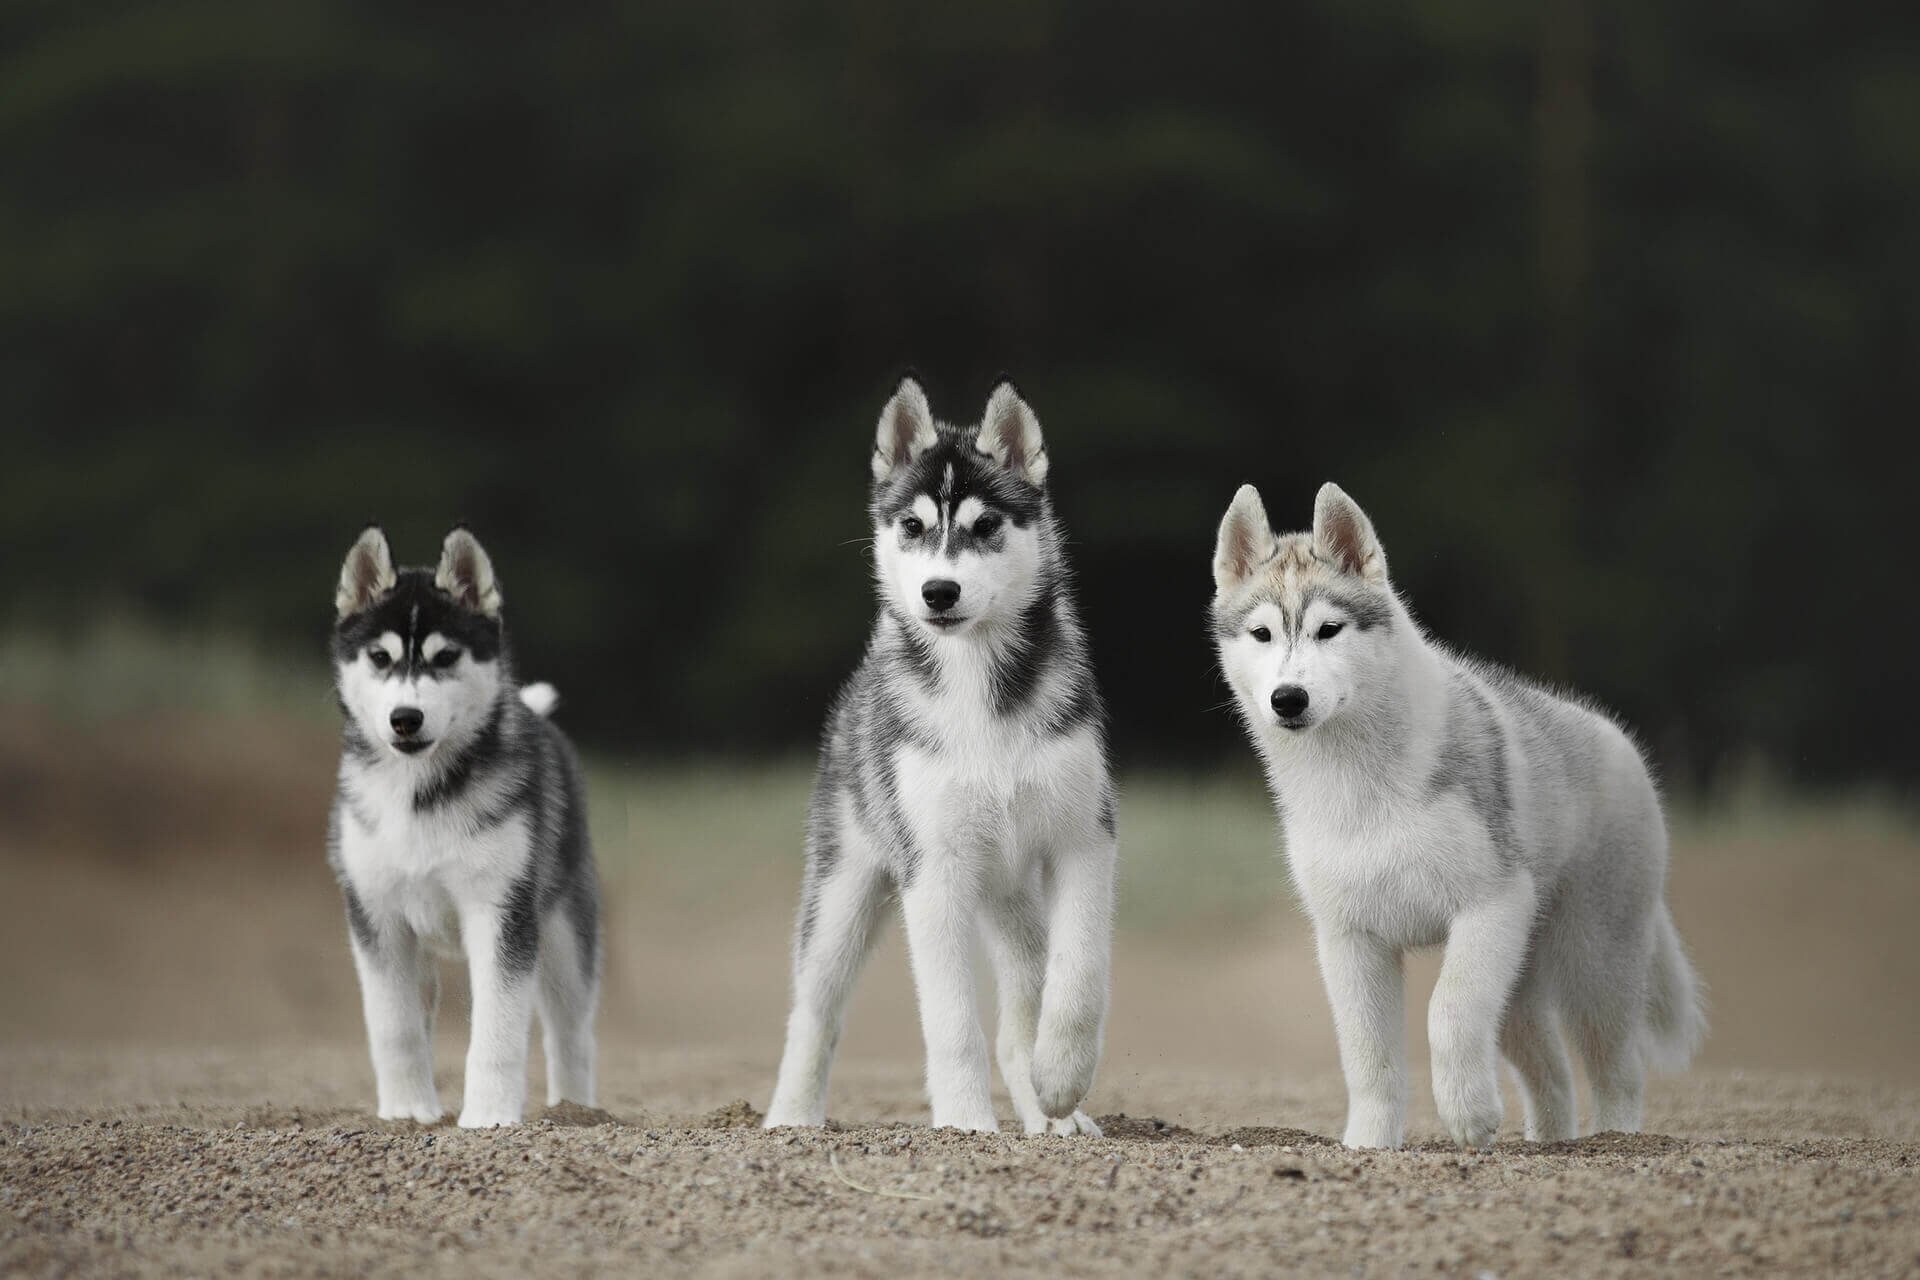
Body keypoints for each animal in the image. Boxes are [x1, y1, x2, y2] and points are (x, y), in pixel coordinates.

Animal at [326, 525, 599, 1128]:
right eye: (379, 657)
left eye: (446, 656)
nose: (405, 718)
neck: (418, 793)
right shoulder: (377, 916)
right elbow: (395, 1026)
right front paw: (406, 1110)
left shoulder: (501, 911)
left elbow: (498, 1029)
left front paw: (490, 1116)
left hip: (565, 936)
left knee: (571, 1032)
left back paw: (575, 1110)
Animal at [764, 378, 1121, 1128]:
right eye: (912, 526)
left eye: (986, 527)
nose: (938, 591)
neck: (977, 683)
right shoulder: (933, 870)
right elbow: (951, 1018)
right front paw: (965, 1122)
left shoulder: (1085, 838)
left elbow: (1078, 977)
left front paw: (1062, 1078)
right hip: (844, 889)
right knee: (814, 1009)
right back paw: (791, 1117)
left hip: (1012, 891)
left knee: (1026, 997)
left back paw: (1049, 1111)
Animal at [1205, 487, 1704, 1151]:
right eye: (1261, 634)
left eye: (1328, 630)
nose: (1288, 699)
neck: (1362, 787)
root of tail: (1617, 739)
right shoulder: (1350, 939)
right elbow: (1367, 1054)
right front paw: (1369, 1142)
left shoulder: (1490, 904)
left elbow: (1448, 1012)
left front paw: (1467, 1114)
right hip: (1519, 984)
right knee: (1552, 1075)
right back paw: (1548, 1144)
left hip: (1594, 962)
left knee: (1616, 1070)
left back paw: (1614, 1140)